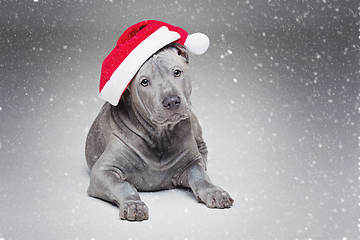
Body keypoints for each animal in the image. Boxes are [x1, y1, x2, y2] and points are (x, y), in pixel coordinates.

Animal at [86, 43, 235, 221]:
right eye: (144, 82)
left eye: (177, 72)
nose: (171, 101)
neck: (159, 135)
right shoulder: (102, 172)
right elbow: (122, 185)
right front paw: (133, 204)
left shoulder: (191, 163)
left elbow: (200, 176)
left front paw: (214, 191)